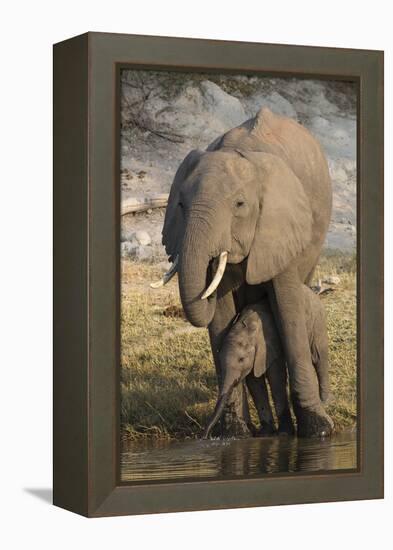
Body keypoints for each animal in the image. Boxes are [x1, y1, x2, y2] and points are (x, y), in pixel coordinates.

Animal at [202, 286, 330, 442]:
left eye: (241, 359)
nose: (206, 436)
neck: (246, 330)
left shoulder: (269, 344)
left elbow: (276, 376)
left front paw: (284, 433)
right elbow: (254, 381)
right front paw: (266, 433)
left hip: (317, 317)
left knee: (319, 356)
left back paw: (325, 401)